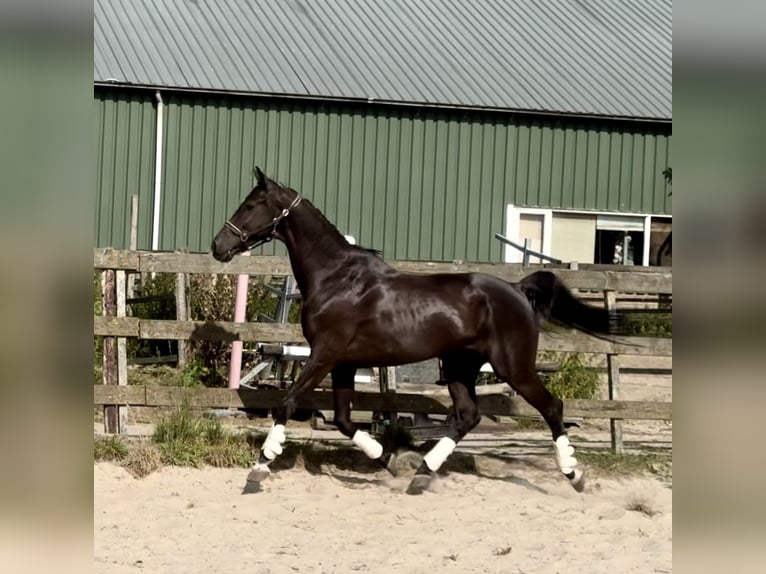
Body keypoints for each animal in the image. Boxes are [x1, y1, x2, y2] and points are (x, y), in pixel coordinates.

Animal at [211, 167, 625, 495]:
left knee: (551, 407)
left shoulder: (325, 354)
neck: (336, 278)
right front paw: (389, 459)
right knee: (468, 416)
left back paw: (575, 476)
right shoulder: (344, 362)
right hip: (459, 366)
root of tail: (517, 289)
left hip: (513, 366)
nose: (218, 246)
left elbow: (288, 402)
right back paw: (422, 474)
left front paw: (258, 470)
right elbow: (344, 420)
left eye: (250, 205)